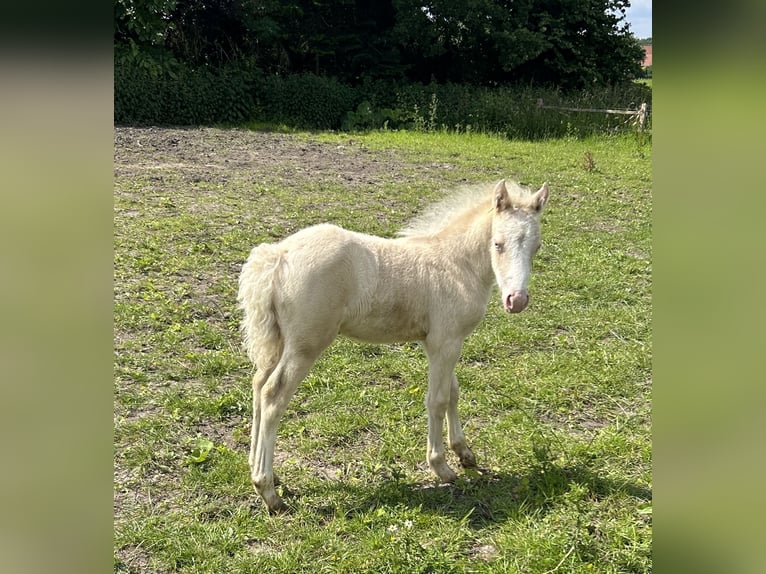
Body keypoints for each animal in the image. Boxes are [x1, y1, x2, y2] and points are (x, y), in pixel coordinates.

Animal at [237, 179, 548, 512]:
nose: (517, 300)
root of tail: (278, 254)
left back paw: (262, 471)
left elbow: (453, 392)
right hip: (305, 345)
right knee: (273, 395)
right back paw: (269, 492)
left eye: (536, 247)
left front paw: (465, 454)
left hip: (278, 341)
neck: (456, 263)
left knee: (258, 386)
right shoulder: (444, 343)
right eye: (498, 244)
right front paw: (442, 467)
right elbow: (437, 400)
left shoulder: (444, 342)